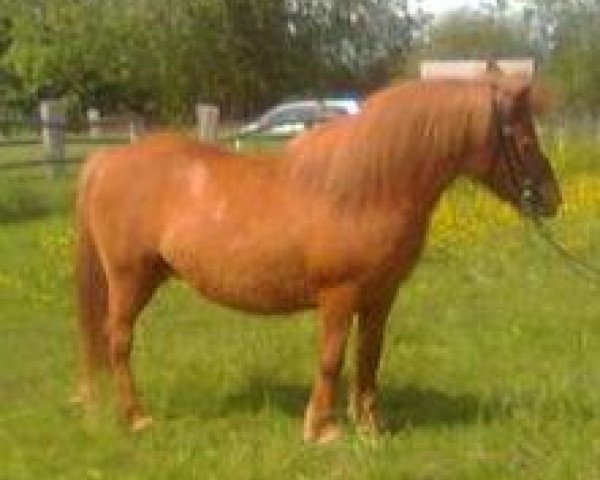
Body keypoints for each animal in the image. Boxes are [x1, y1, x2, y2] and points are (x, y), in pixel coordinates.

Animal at [76, 76, 564, 442]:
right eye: (523, 139)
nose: (551, 198)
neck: (368, 190)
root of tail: (108, 158)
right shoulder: (338, 296)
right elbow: (331, 358)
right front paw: (321, 429)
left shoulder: (380, 298)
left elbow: (368, 357)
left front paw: (369, 426)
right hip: (130, 279)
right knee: (118, 341)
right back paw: (137, 417)